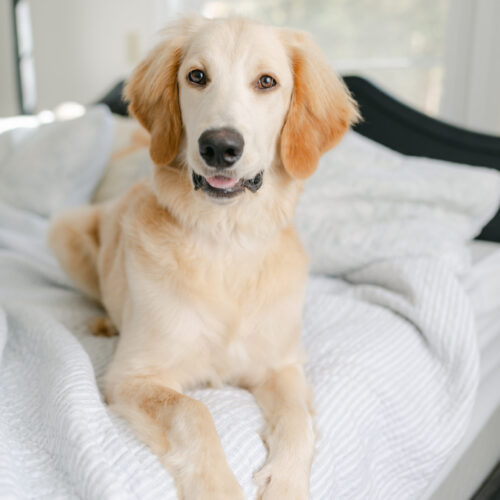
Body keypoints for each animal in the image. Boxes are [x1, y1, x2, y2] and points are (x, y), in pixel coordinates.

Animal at [47, 16, 360, 500]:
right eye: (196, 76)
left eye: (266, 82)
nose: (219, 146)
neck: (226, 241)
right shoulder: (132, 377)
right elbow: (193, 411)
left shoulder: (281, 364)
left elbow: (298, 421)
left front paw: (286, 481)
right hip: (65, 228)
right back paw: (104, 322)